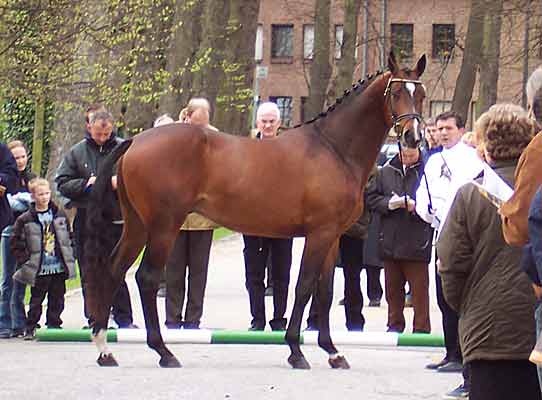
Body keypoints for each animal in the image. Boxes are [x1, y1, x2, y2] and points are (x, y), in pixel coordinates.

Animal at [86, 52, 430, 368]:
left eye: (421, 94)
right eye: (396, 93)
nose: (413, 137)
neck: (333, 148)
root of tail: (136, 140)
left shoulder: (332, 237)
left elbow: (325, 290)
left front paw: (333, 351)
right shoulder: (319, 234)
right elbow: (304, 286)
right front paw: (296, 351)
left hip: (137, 226)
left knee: (115, 270)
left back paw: (105, 348)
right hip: (163, 227)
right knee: (146, 277)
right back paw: (163, 351)